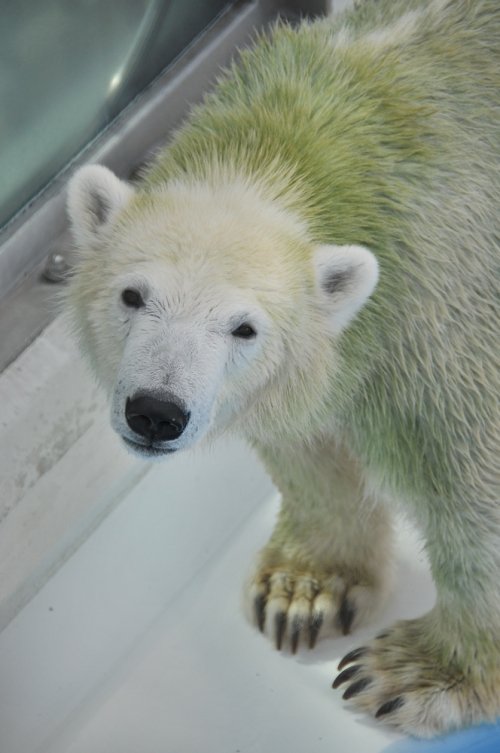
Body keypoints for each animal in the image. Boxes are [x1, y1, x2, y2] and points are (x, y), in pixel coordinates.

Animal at [66, 0, 500, 740]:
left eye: (244, 326)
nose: (156, 411)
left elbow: (473, 482)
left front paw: (410, 672)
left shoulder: (444, 312)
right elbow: (309, 449)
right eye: (132, 295)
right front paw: (303, 592)